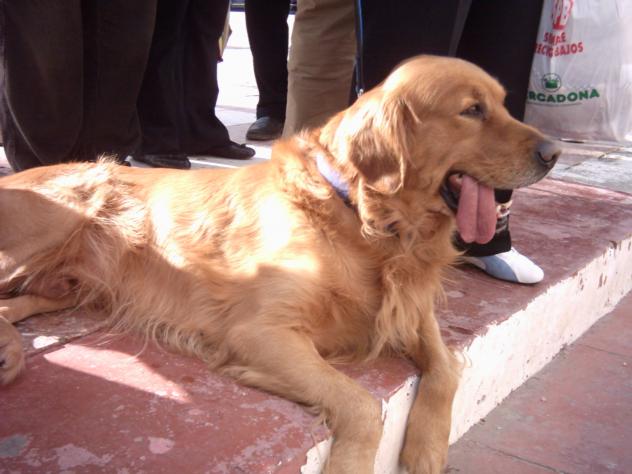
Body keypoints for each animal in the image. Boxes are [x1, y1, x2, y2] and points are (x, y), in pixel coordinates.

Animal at [0, 56, 559, 473]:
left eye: (504, 104)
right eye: (472, 110)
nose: (554, 152)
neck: (360, 216)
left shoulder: (412, 312)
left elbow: (446, 368)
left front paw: (426, 450)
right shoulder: (258, 332)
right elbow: (361, 405)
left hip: (66, 282)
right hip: (68, 209)